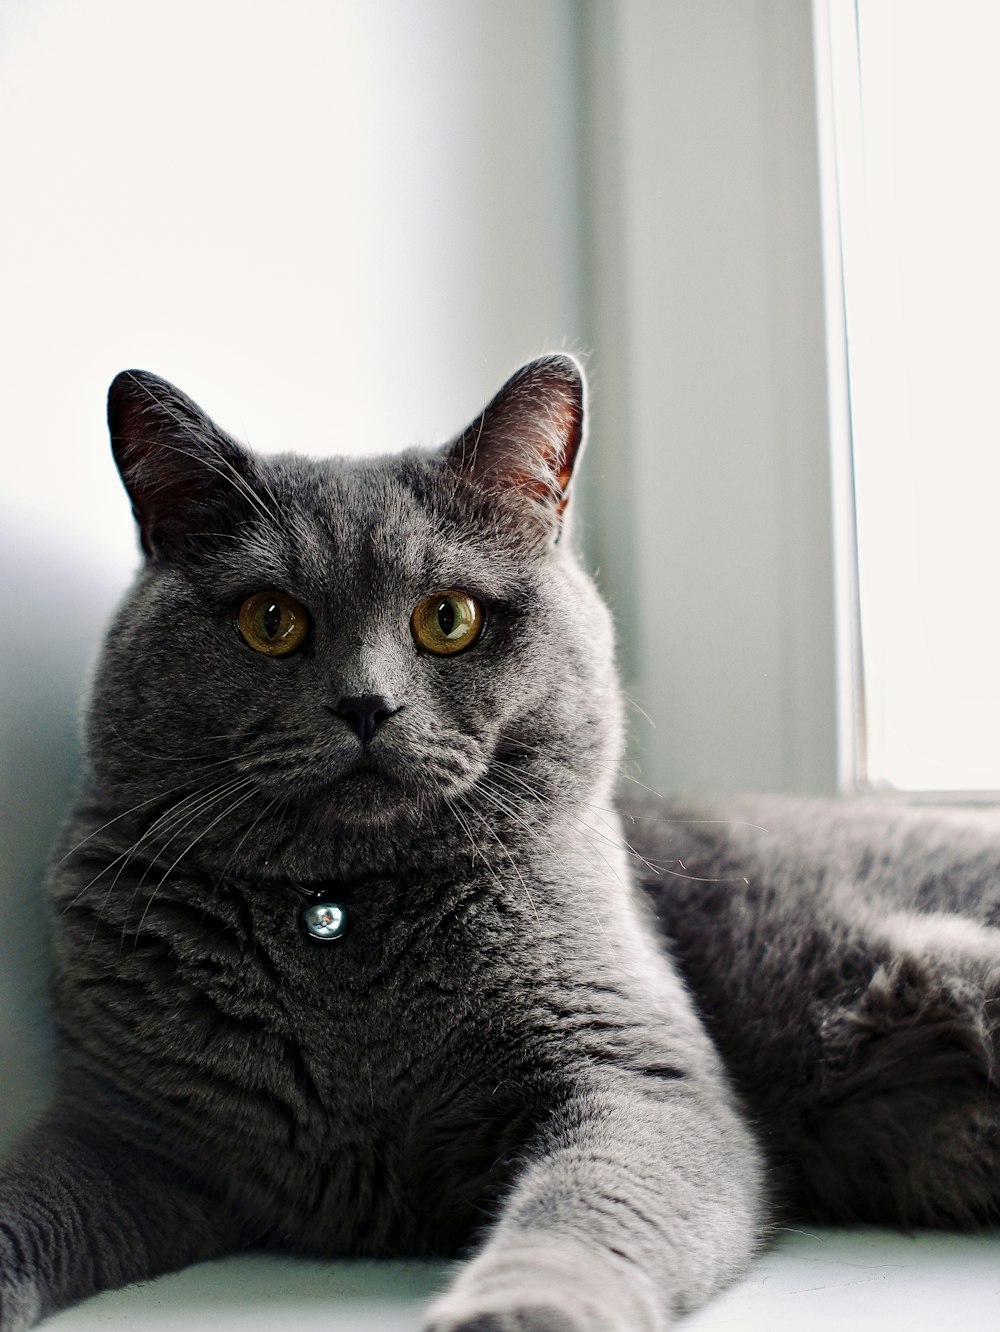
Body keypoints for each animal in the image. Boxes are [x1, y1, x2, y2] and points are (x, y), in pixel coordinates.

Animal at [0, 356, 996, 1332]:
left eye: (449, 618)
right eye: (270, 620)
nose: (366, 704)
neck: (340, 915)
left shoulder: (638, 1072)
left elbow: (583, 1210)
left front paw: (519, 1310)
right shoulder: (124, 1129)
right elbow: (27, 1200)